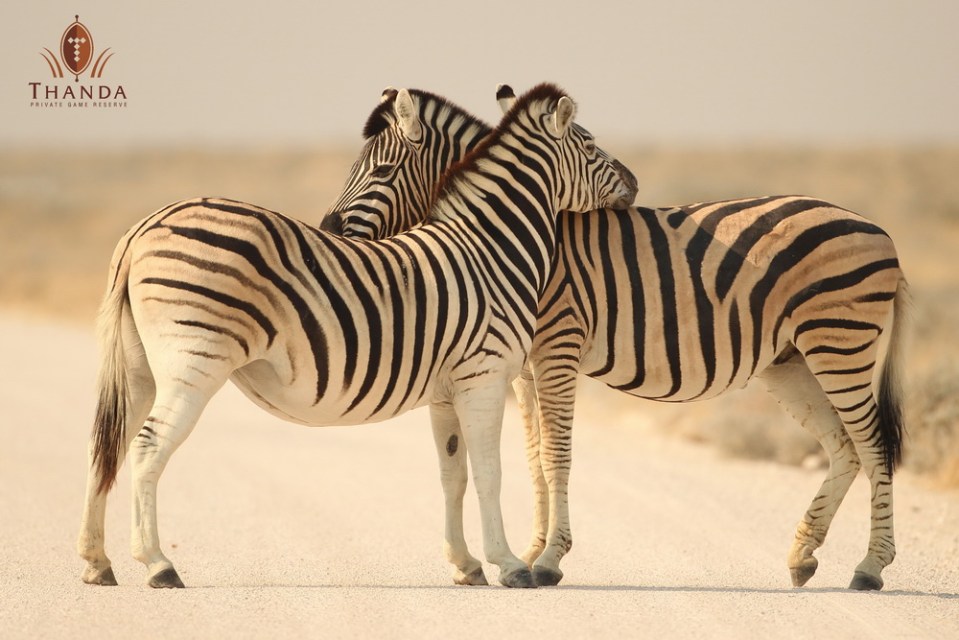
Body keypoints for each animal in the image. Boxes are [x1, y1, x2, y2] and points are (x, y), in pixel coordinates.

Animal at [76, 83, 639, 590]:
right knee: (147, 447)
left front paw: (466, 564)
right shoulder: (484, 375)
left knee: (110, 443)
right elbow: (488, 472)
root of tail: (144, 227)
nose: (634, 183)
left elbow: (452, 475)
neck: (490, 248)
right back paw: (157, 565)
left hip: (141, 367)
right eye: (590, 145)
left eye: (381, 169)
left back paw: (97, 562)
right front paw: (509, 564)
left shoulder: (447, 390)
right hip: (194, 363)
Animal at [320, 85, 908, 591]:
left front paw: (549, 560)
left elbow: (556, 454)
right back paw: (802, 556)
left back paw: (870, 568)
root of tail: (878, 230)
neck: (511, 232)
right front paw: (531, 552)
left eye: (382, 170)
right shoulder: (523, 367)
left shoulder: (555, 348)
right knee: (844, 446)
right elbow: (534, 457)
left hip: (840, 344)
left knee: (873, 443)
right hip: (791, 359)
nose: (327, 230)